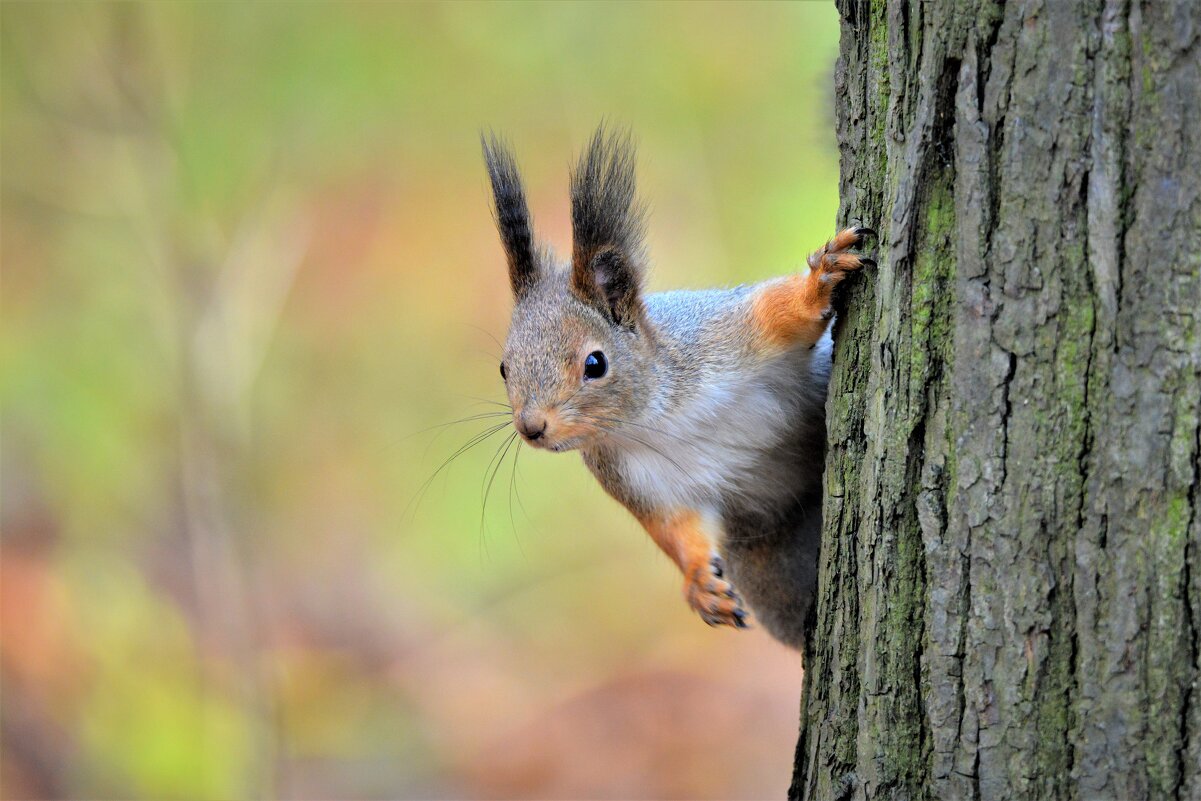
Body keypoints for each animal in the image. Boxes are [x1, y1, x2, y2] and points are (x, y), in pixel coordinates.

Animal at [477, 126, 874, 653]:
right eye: (504, 367)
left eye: (595, 363)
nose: (531, 427)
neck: (658, 418)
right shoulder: (636, 479)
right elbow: (673, 529)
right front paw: (700, 586)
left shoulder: (722, 336)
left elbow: (780, 312)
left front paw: (820, 279)